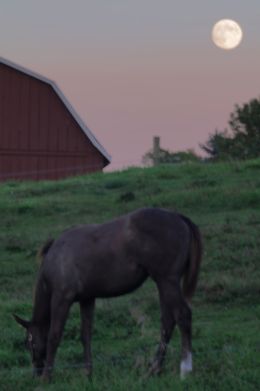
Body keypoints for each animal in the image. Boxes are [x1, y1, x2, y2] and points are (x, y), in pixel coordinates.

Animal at [13, 208, 202, 382]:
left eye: (29, 343)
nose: (36, 372)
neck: (55, 259)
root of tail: (178, 217)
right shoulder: (87, 299)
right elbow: (86, 335)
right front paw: (88, 373)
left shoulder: (62, 298)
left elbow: (54, 335)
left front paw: (47, 378)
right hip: (163, 283)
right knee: (167, 322)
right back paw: (154, 369)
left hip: (167, 281)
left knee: (183, 315)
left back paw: (185, 369)